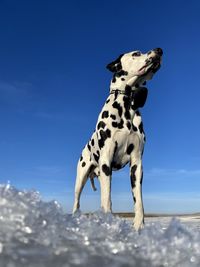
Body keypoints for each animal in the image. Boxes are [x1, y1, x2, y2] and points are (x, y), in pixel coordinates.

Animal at [73, 47, 162, 230]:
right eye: (136, 53)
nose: (159, 50)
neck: (126, 105)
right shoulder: (106, 159)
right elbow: (108, 199)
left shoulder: (137, 164)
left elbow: (138, 201)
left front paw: (139, 225)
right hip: (81, 178)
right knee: (77, 202)